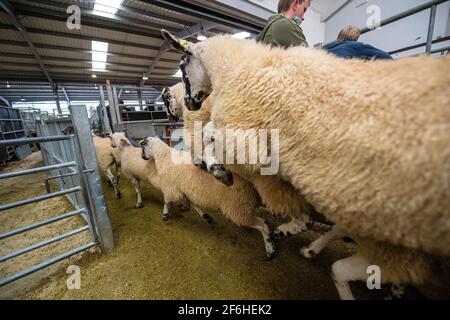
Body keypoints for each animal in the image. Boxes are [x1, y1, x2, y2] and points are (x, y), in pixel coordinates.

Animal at [142, 136, 280, 260]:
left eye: (142, 148)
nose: (142, 157)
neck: (163, 157)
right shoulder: (183, 187)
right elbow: (192, 203)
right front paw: (203, 215)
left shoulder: (170, 186)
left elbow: (167, 201)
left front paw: (165, 214)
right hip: (243, 202)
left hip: (235, 206)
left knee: (263, 225)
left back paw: (270, 250)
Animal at [163, 82, 314, 238]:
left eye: (165, 101)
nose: (170, 119)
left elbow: (204, 146)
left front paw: (218, 171)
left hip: (271, 182)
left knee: (303, 217)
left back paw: (283, 230)